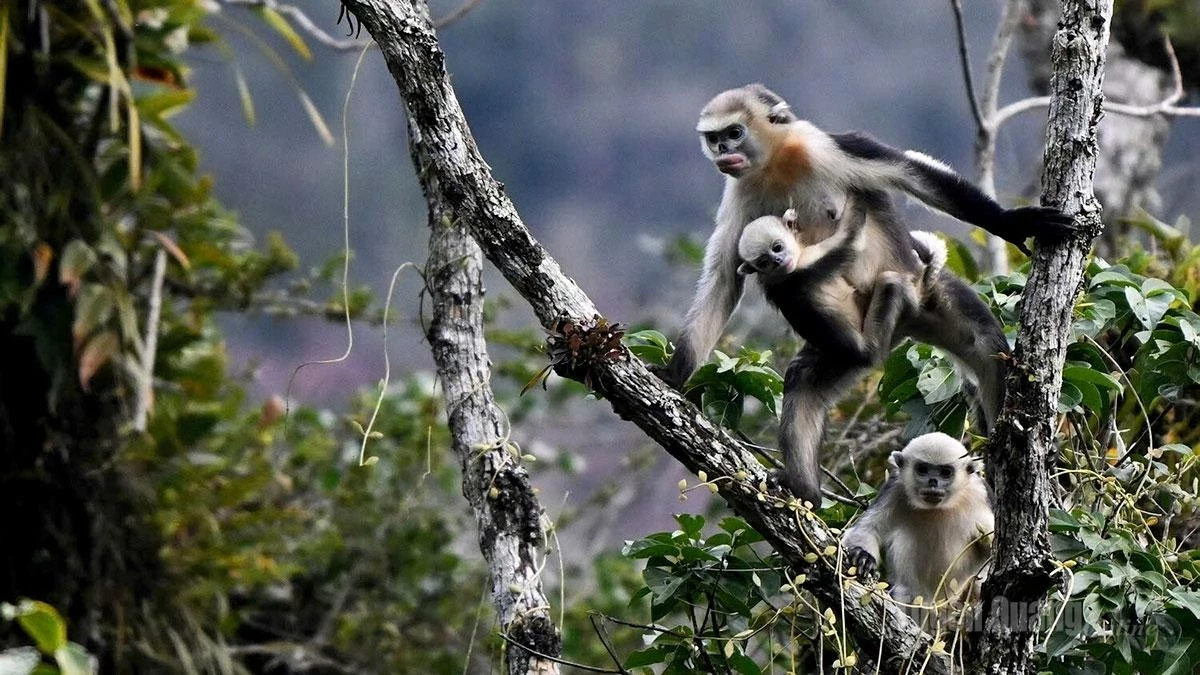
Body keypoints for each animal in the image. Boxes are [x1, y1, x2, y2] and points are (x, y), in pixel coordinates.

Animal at [659, 83, 1074, 502]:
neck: (775, 164)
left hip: (924, 290)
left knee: (986, 347)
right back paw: (803, 490)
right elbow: (725, 278)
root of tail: (905, 321)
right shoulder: (741, 194)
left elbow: (912, 173)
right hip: (858, 339)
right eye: (714, 137)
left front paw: (1012, 223)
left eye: (734, 133)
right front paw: (674, 375)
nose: (722, 152)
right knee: (804, 379)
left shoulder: (824, 146)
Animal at [841, 432, 993, 613]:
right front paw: (863, 557)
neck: (937, 508)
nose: (933, 481)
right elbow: (867, 529)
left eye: (946, 472)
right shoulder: (895, 488)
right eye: (922, 469)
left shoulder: (980, 493)